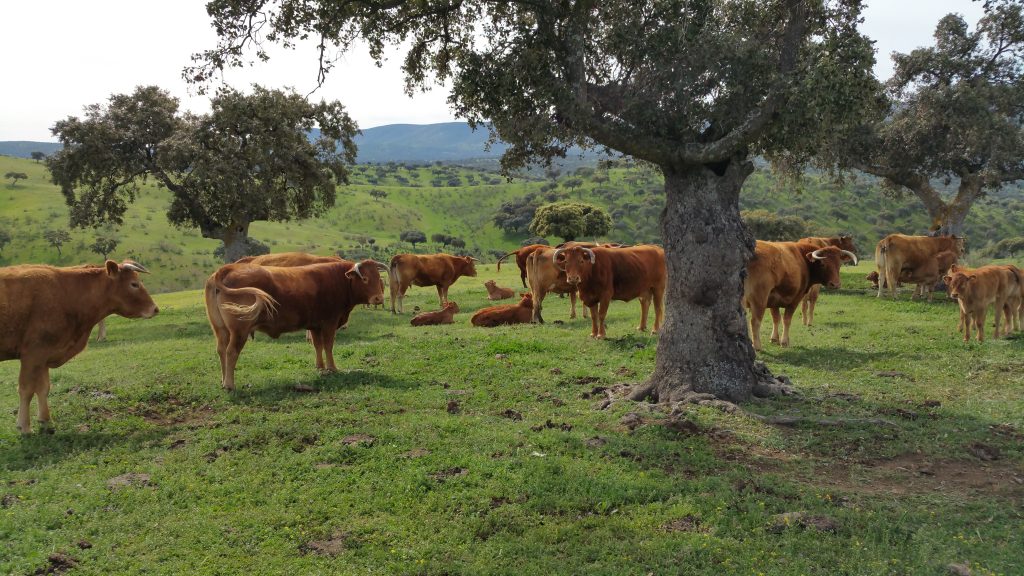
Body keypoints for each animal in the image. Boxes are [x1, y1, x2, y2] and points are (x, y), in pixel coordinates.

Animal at [0, 260, 157, 430]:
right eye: (134, 284)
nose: (155, 309)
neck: (66, 293)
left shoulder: (45, 353)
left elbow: (43, 388)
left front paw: (46, 420)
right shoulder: (33, 353)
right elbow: (27, 389)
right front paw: (24, 426)